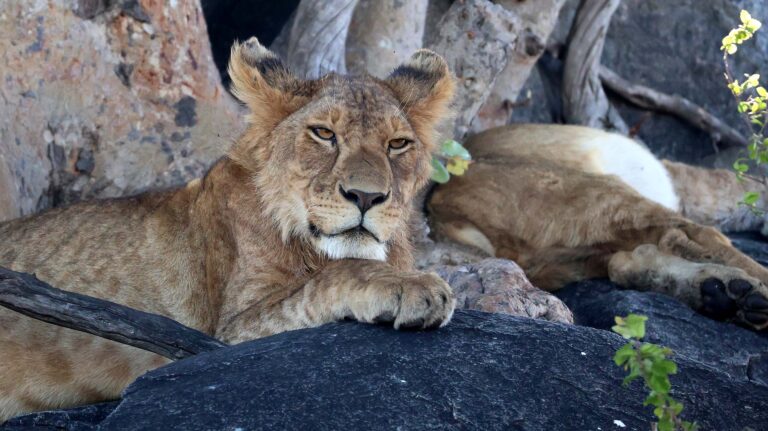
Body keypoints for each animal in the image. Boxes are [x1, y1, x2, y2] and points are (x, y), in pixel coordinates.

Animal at [0, 38, 457, 420]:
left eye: (397, 144)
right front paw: (411, 286)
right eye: (324, 133)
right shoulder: (219, 339)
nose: (365, 196)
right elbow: (330, 277)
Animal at [429, 124, 768, 330]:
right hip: (593, 198)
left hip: (579, 238)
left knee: (633, 259)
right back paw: (740, 293)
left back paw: (728, 295)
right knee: (688, 236)